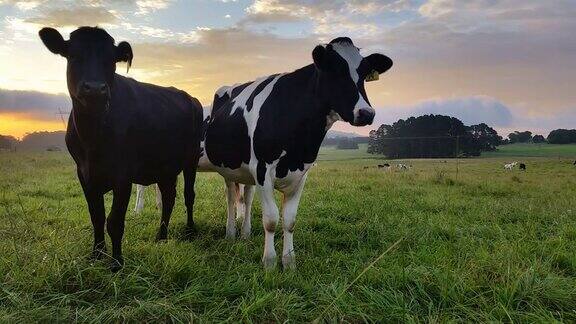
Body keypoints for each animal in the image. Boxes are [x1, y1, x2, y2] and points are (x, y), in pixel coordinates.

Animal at [38, 27, 205, 270]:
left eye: (111, 61)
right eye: (74, 55)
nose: (95, 89)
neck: (93, 136)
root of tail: (190, 98)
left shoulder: (123, 175)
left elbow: (114, 221)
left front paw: (117, 263)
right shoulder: (84, 173)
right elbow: (96, 217)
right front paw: (97, 254)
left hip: (191, 158)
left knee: (188, 195)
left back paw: (190, 230)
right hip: (164, 166)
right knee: (168, 197)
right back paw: (161, 237)